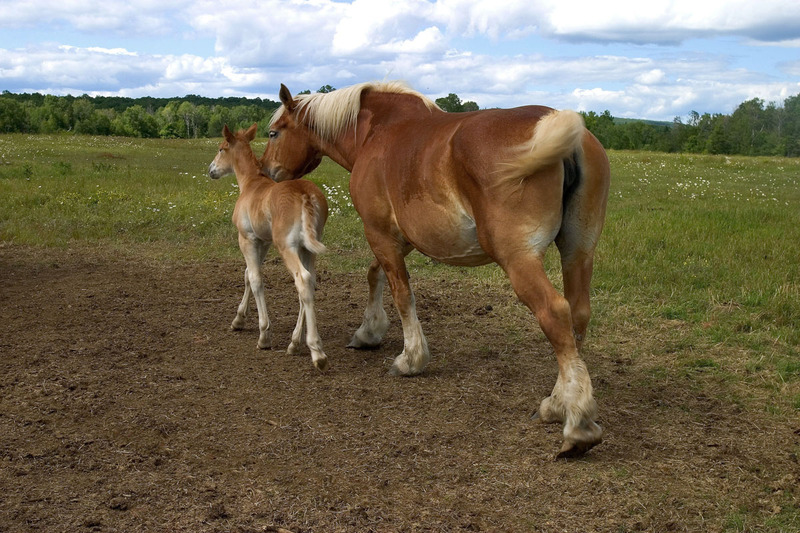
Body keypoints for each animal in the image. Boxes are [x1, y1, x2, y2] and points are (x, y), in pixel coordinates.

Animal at [208, 123, 330, 371]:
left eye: (221, 148)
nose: (211, 170)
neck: (251, 183)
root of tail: (305, 194)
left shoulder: (246, 238)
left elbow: (255, 278)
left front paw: (264, 334)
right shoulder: (262, 241)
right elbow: (248, 274)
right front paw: (238, 320)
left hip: (287, 246)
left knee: (302, 279)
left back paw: (316, 352)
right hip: (309, 248)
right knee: (309, 282)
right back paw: (294, 343)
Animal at [262, 81, 610, 457]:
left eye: (274, 132)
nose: (266, 171)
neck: (377, 131)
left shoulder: (379, 233)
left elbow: (402, 293)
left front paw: (410, 359)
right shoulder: (400, 238)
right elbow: (375, 275)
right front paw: (368, 332)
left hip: (520, 260)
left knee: (555, 313)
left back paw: (576, 423)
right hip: (578, 252)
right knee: (577, 314)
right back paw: (557, 404)